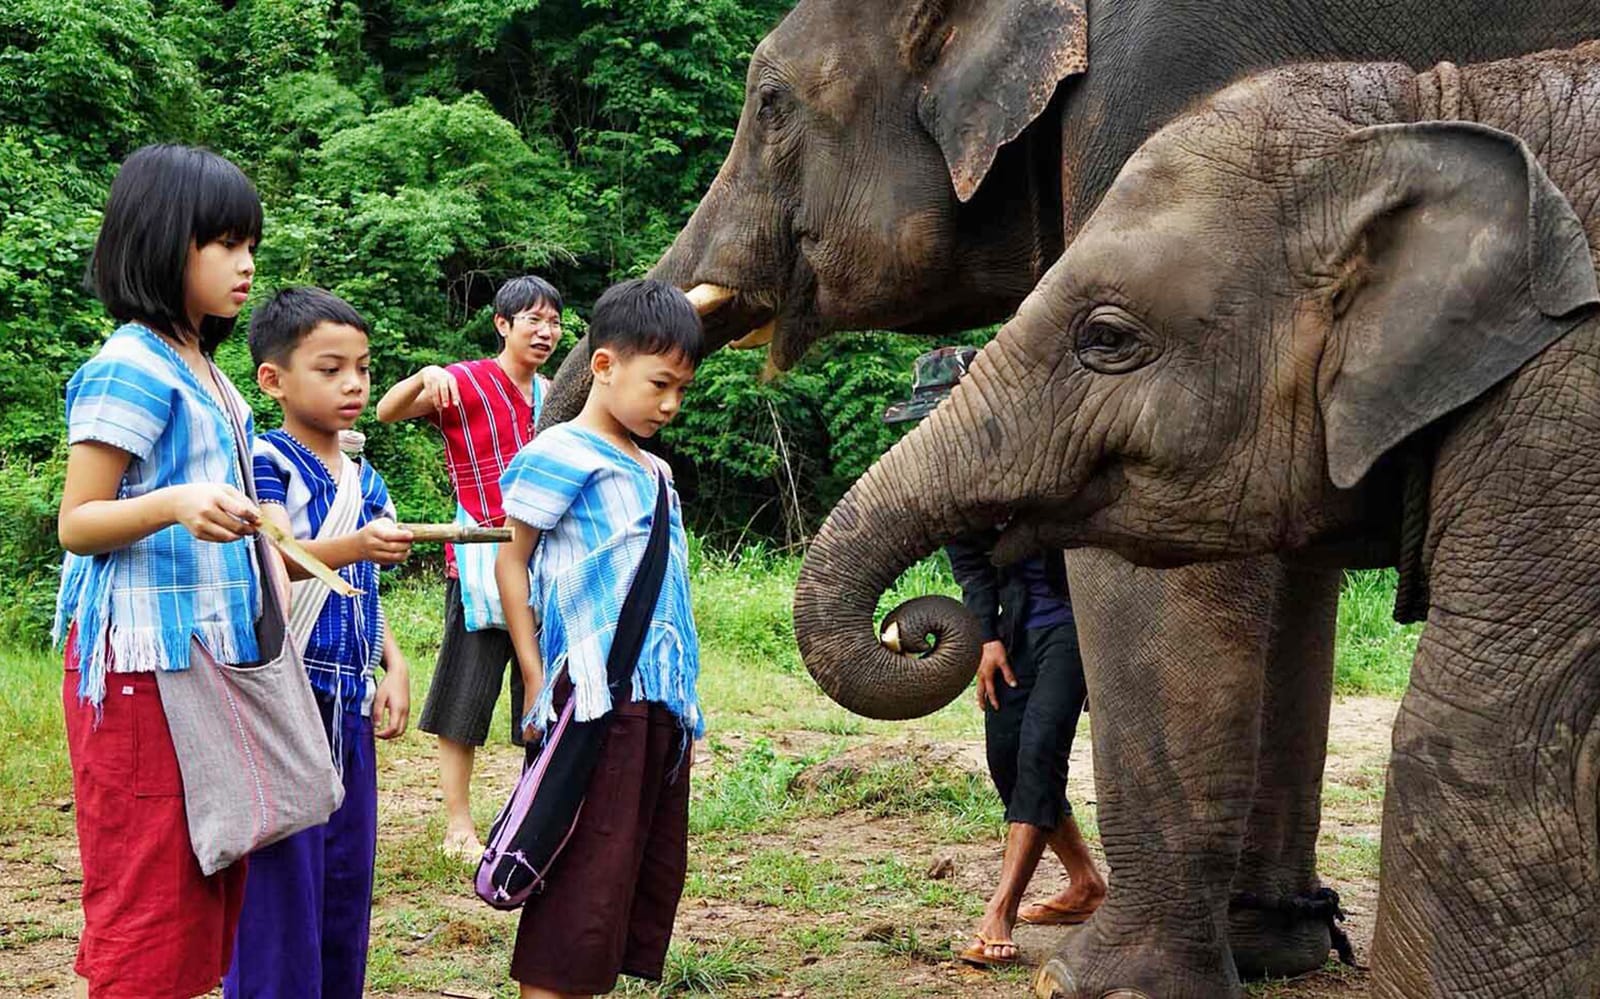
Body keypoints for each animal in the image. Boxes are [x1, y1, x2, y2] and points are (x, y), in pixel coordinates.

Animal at [539, 1, 1600, 993]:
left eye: (768, 105)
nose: (915, 625)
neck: (1429, 110)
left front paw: (1100, 983)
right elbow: (1288, 567)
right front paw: (1266, 953)